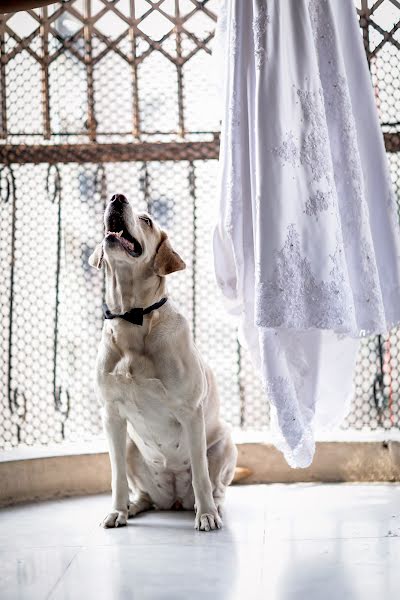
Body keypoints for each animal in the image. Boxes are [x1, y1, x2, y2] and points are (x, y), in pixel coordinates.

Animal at [89, 196, 236, 528]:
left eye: (147, 221)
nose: (116, 197)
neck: (132, 318)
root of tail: (174, 500)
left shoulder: (190, 412)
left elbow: (201, 475)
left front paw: (206, 515)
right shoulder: (111, 415)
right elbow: (116, 476)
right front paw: (117, 510)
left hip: (224, 444)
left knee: (216, 485)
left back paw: (213, 507)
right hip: (132, 448)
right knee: (143, 493)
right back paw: (132, 506)